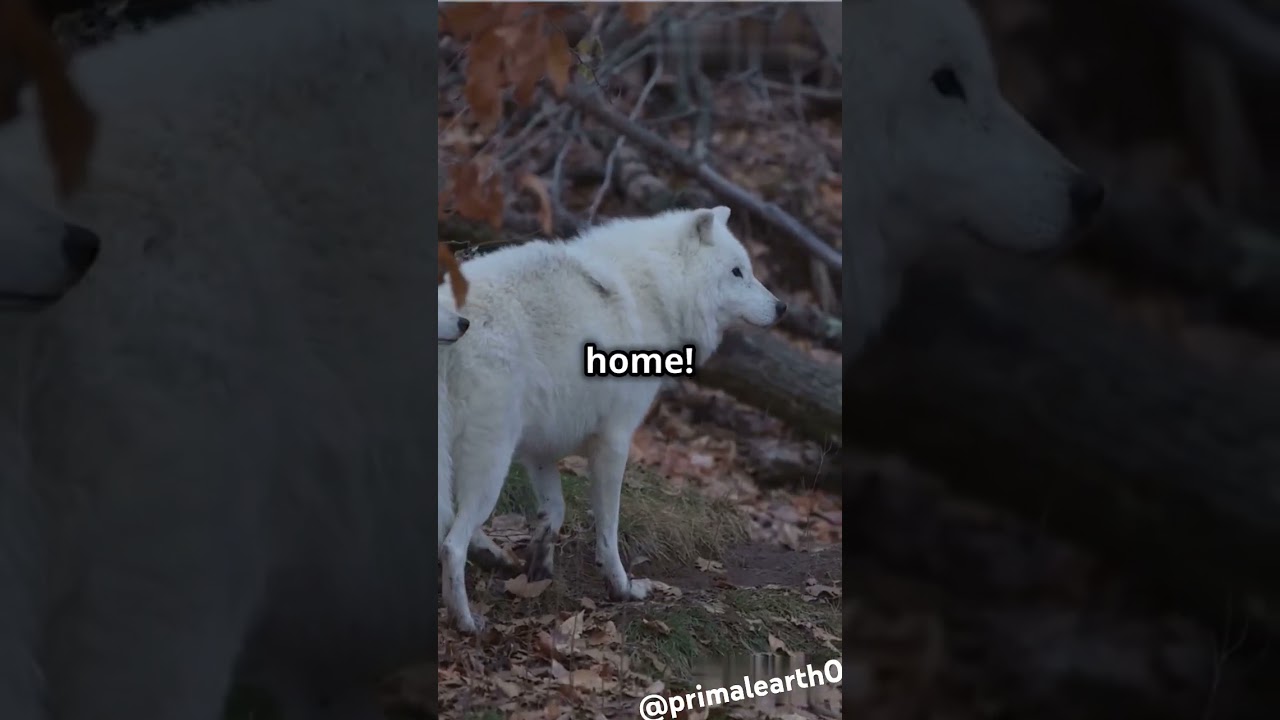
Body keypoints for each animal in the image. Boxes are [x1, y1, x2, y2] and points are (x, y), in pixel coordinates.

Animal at [437, 206, 786, 632]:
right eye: (737, 272)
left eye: (748, 270)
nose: (782, 307)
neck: (656, 292)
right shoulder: (615, 440)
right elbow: (608, 528)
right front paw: (622, 587)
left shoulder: (541, 447)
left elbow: (554, 511)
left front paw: (540, 566)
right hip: (491, 460)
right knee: (451, 543)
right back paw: (466, 621)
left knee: (450, 526)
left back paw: (494, 559)